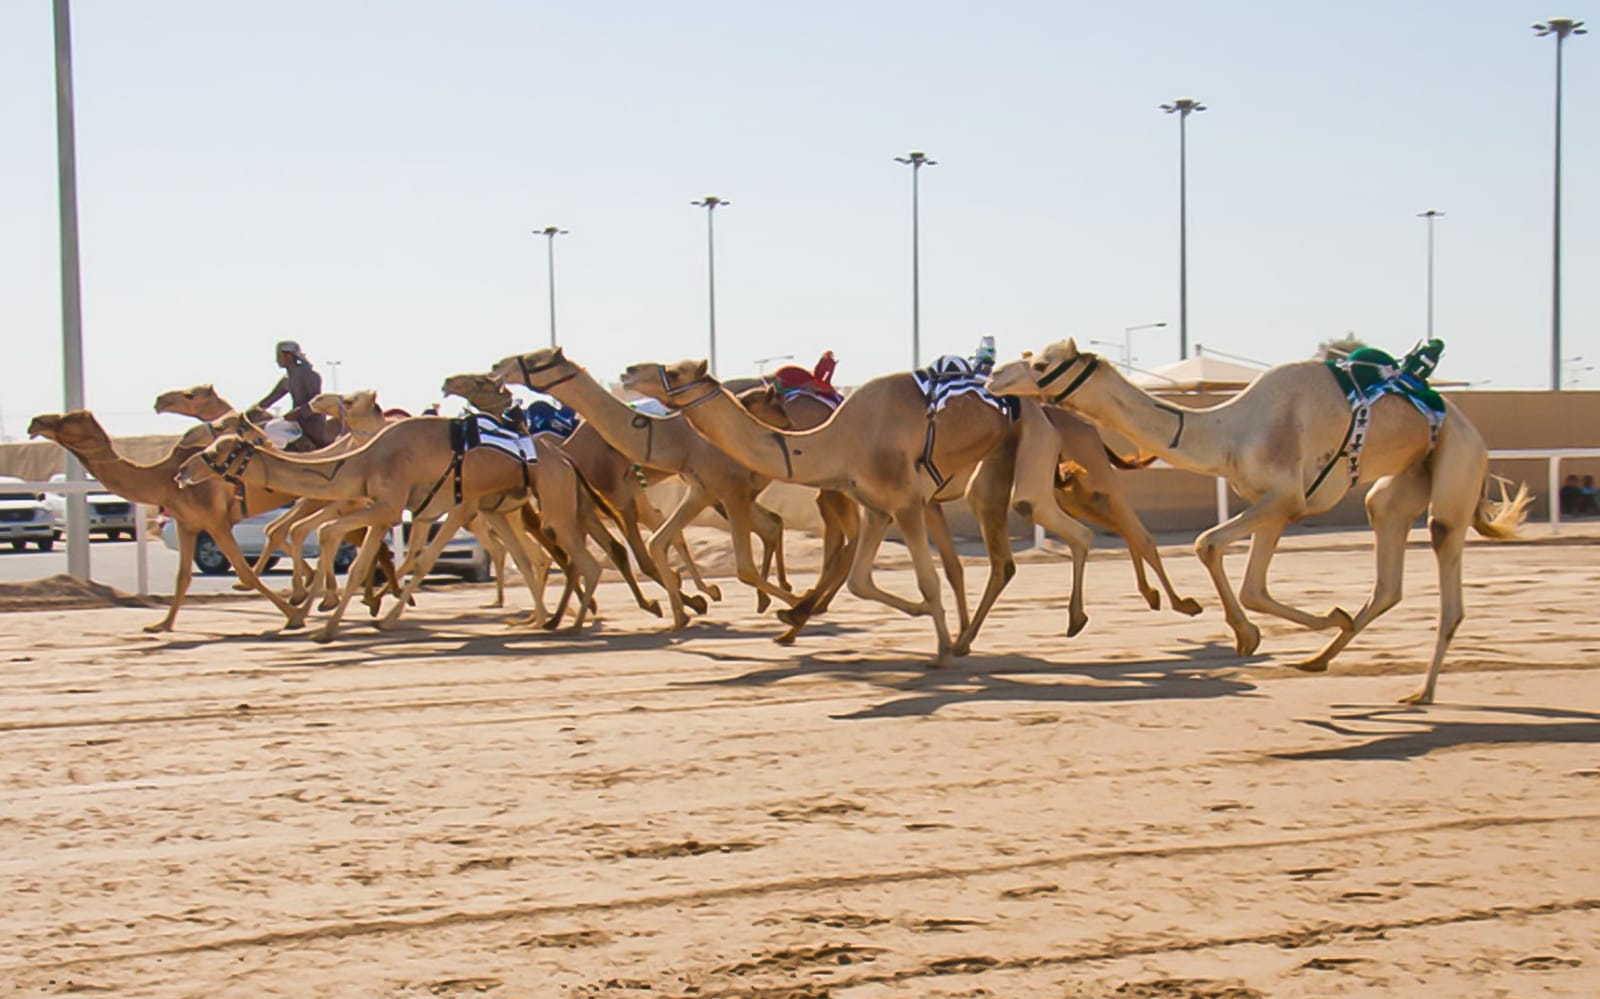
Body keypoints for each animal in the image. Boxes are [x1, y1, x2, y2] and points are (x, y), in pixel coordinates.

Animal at [26, 410, 305, 632]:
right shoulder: (187, 524)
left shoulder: (216, 522)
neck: (164, 480)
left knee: (284, 530)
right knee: (281, 529)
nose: (35, 422)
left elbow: (244, 572)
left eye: (67, 419)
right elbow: (182, 576)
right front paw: (162, 624)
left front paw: (294, 616)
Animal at [176, 416, 624, 641]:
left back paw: (572, 623)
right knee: (533, 559)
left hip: (550, 503)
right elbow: (357, 559)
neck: (362, 461)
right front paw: (321, 620)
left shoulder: (392, 506)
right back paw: (543, 620)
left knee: (583, 560)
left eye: (220, 450)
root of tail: (565, 461)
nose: (182, 471)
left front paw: (339, 619)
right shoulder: (387, 512)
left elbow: (332, 536)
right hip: (501, 507)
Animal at [488, 349, 805, 632]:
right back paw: (767, 597)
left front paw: (681, 601)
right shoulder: (697, 490)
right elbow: (658, 542)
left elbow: (640, 554)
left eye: (535, 360)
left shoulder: (626, 499)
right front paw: (686, 605)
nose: (497, 366)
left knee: (770, 525)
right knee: (771, 524)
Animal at [616, 358, 1038, 664]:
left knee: (1000, 560)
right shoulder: (878, 508)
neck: (838, 439)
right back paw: (966, 638)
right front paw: (925, 618)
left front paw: (941, 649)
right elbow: (860, 581)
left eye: (673, 371)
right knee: (975, 564)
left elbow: (926, 579)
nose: (628, 370)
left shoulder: (904, 502)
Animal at [987, 338, 1529, 704]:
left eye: (1040, 363)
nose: (994, 375)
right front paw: (1306, 623)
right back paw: (1320, 658)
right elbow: (1252, 586)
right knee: (1387, 573)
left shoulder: (1283, 496)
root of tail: (1466, 425)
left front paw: (1247, 635)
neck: (1230, 431)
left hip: (1456, 467)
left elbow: (1207, 543)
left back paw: (1421, 693)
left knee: (1446, 570)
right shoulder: (1277, 506)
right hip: (1401, 485)